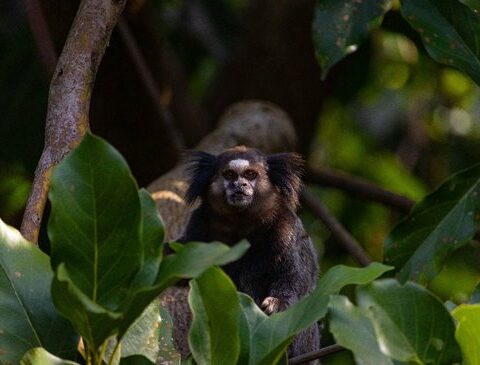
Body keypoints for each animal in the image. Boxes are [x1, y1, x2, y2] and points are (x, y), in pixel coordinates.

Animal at [176, 146, 318, 358]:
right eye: (229, 175)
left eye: (251, 174)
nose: (239, 184)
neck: (242, 227)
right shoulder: (198, 228)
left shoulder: (286, 229)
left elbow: (294, 279)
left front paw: (276, 304)